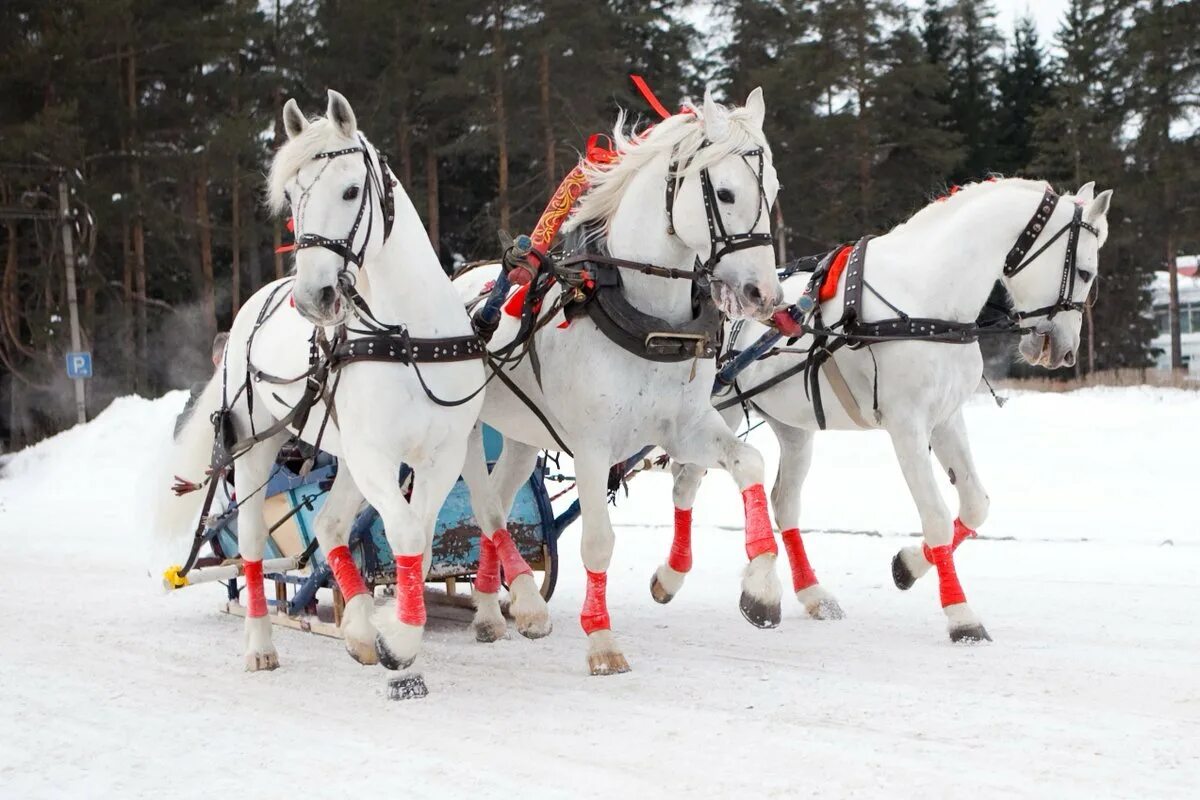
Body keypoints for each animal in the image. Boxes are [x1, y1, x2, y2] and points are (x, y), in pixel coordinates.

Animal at [154, 90, 482, 671]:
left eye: (351, 190)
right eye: (290, 197)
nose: (311, 298)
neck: (407, 338)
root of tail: (253, 305)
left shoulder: (441, 455)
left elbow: (420, 535)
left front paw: (388, 625)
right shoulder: (376, 453)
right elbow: (402, 530)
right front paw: (400, 637)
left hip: (345, 454)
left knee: (329, 525)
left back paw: (356, 626)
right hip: (254, 446)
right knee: (253, 544)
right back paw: (261, 644)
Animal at [451, 89, 787, 676]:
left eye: (773, 191)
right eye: (724, 192)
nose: (763, 295)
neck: (649, 318)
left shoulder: (685, 426)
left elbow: (747, 463)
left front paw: (761, 589)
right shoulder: (590, 445)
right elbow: (598, 542)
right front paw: (602, 641)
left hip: (520, 436)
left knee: (500, 504)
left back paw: (493, 611)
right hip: (467, 431)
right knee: (486, 508)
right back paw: (528, 604)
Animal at [662, 178, 1108, 642]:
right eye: (1085, 273)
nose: (1064, 351)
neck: (928, 299)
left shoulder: (946, 419)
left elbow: (975, 505)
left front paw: (908, 565)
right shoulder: (907, 425)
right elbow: (935, 515)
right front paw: (961, 615)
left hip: (792, 426)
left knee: (783, 502)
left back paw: (812, 593)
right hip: (716, 412)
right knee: (685, 484)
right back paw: (673, 576)